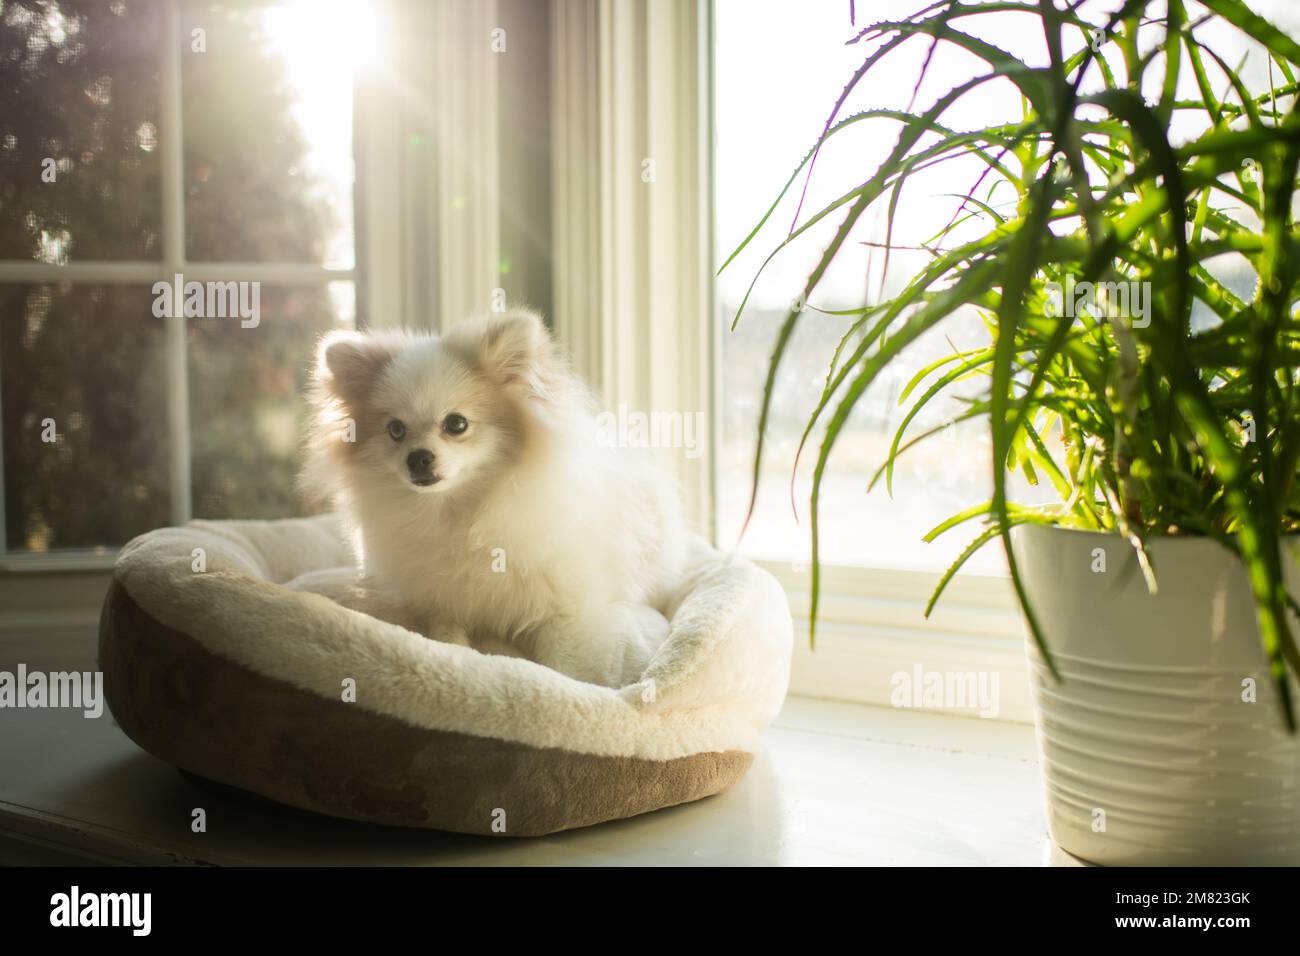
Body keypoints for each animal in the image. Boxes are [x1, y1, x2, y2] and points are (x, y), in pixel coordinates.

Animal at [301, 308, 691, 686]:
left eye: (456, 424)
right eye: (395, 430)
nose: (418, 457)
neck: (460, 510)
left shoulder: (565, 611)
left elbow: (565, 668)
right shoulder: (444, 604)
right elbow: (448, 641)